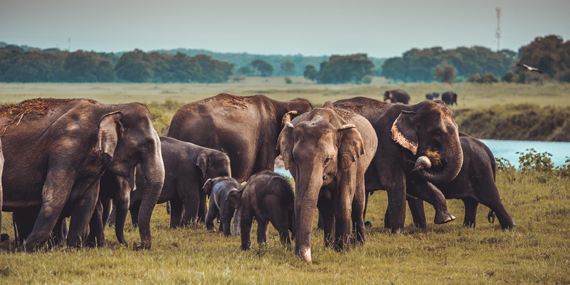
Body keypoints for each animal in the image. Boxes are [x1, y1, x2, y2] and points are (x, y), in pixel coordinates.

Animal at [0, 98, 164, 251]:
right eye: (146, 145)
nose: (136, 244)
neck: (109, 108)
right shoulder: (65, 148)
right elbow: (55, 197)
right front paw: (25, 250)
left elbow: (88, 200)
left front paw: (72, 249)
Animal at [276, 101, 378, 262]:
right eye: (295, 158)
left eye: (328, 159)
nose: (305, 258)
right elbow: (306, 201)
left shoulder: (348, 160)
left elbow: (343, 203)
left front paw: (344, 251)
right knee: (326, 207)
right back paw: (330, 246)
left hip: (362, 166)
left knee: (358, 204)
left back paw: (359, 244)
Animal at [332, 96, 462, 232]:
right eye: (437, 132)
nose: (423, 161)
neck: (411, 109)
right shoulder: (386, 145)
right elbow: (396, 183)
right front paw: (399, 232)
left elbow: (416, 183)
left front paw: (447, 219)